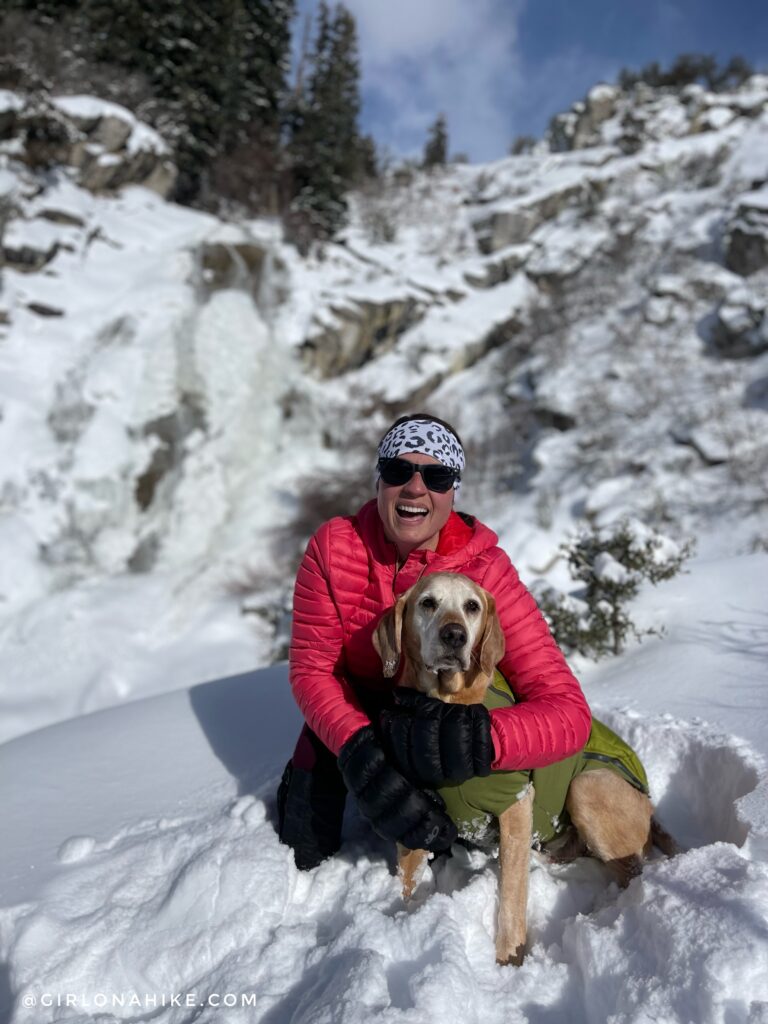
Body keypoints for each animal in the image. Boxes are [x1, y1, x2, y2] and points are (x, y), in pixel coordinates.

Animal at [374, 577, 679, 966]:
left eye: (472, 606)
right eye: (427, 602)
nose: (455, 636)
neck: (446, 708)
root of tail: (651, 807)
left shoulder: (514, 806)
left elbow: (511, 898)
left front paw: (509, 960)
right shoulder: (414, 810)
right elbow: (409, 880)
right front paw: (407, 918)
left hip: (587, 785)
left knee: (632, 874)